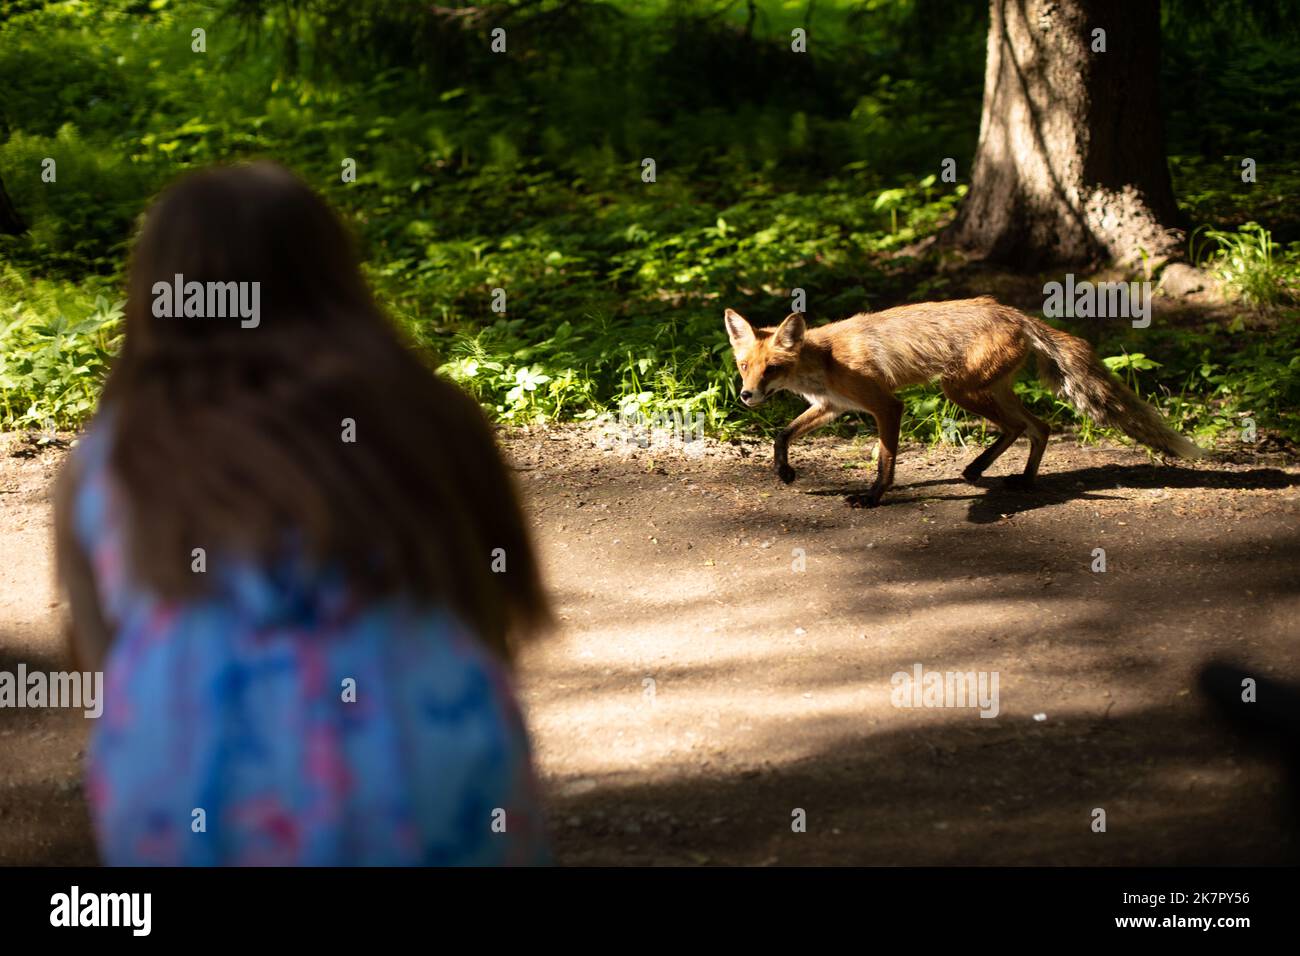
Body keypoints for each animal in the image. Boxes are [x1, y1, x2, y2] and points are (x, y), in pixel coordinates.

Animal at [723, 296, 1207, 508]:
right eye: (744, 366)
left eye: (772, 370)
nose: (746, 396)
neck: (825, 360)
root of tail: (1015, 312)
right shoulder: (832, 407)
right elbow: (783, 434)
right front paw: (784, 471)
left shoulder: (886, 406)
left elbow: (885, 459)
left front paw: (874, 496)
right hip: (988, 390)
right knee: (1038, 426)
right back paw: (1008, 477)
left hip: (959, 390)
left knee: (1023, 426)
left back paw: (995, 474)